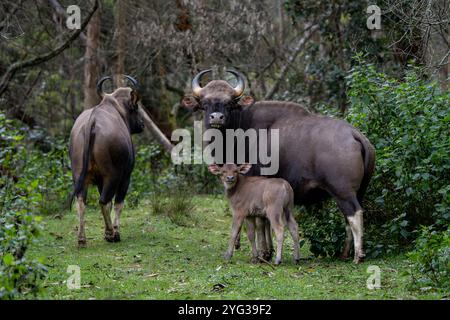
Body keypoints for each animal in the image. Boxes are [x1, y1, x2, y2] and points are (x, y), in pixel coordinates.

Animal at [68, 75, 144, 248]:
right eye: (136, 107)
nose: (142, 124)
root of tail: (92, 122)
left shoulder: (99, 180)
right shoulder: (125, 177)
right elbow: (117, 204)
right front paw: (115, 231)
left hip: (79, 174)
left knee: (81, 201)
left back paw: (81, 238)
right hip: (113, 175)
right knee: (103, 201)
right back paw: (111, 234)